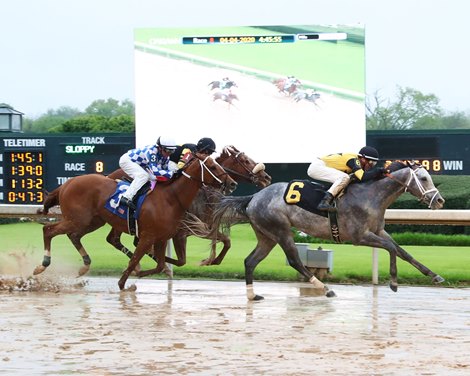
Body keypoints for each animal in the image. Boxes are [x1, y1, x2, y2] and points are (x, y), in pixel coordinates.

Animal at [35, 153, 237, 290]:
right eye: (212, 166)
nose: (232, 183)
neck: (171, 198)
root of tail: (67, 183)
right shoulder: (151, 236)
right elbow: (136, 261)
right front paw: (125, 282)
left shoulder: (163, 237)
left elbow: (161, 264)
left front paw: (141, 272)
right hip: (78, 219)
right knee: (49, 230)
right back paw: (41, 265)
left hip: (92, 221)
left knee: (74, 236)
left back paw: (84, 266)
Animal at [211, 160, 446, 302]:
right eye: (423, 178)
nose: (440, 201)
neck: (370, 195)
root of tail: (254, 197)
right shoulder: (359, 236)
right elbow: (391, 248)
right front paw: (394, 283)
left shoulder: (378, 231)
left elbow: (403, 251)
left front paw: (434, 275)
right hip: (280, 230)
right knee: (295, 260)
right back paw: (325, 288)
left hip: (266, 235)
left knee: (250, 261)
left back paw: (252, 295)